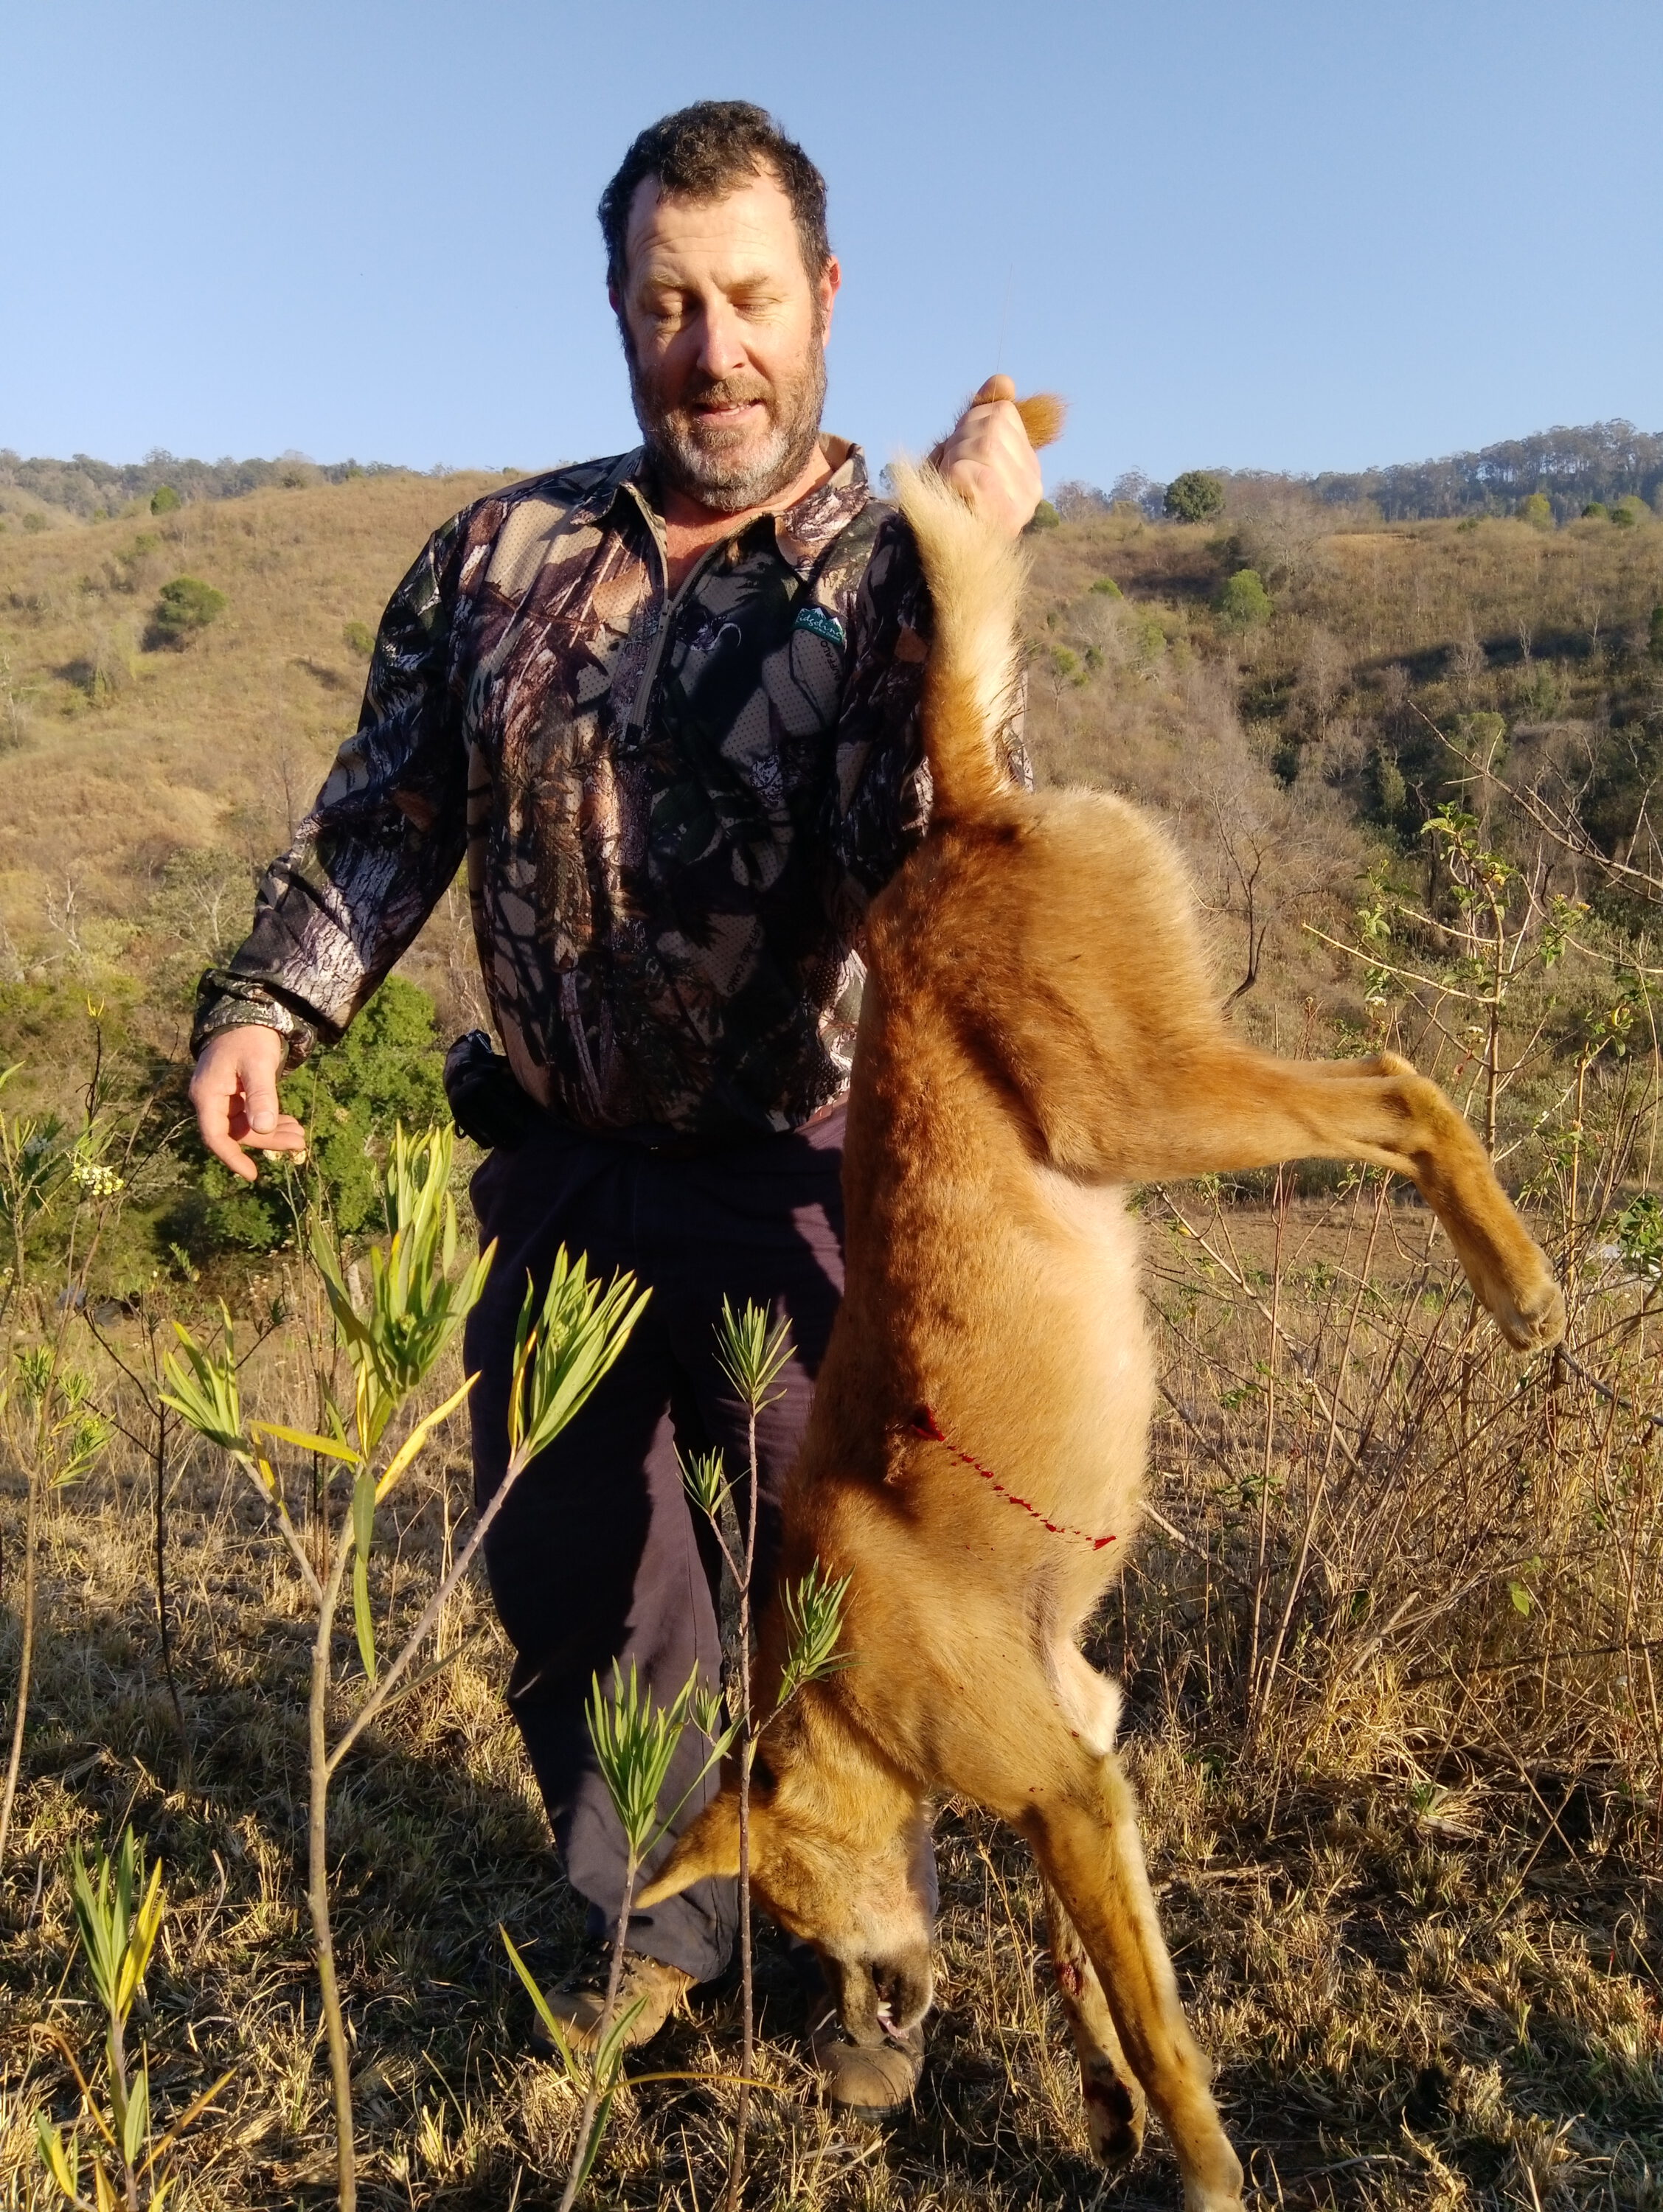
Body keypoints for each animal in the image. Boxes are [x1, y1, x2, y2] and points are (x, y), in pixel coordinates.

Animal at [641, 407, 1575, 2203]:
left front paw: (1199, 2158)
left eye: (796, 1910)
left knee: (1397, 1088)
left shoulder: (1060, 1785)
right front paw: (1100, 2107)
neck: (834, 1668)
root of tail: (958, 812)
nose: (875, 2013)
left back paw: (1516, 1284)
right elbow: (1088, 1974)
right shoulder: (1089, 1747)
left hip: (1131, 1101)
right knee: (1387, 1089)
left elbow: (1148, 2010)